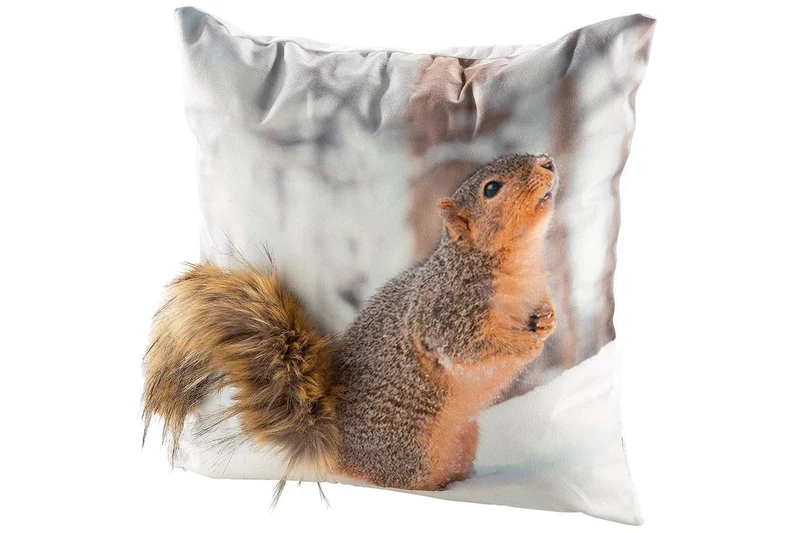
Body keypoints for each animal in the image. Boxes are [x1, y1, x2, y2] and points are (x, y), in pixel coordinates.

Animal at [142, 153, 558, 495]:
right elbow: (468, 347)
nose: (547, 161)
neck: (519, 263)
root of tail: (336, 450)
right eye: (492, 189)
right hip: (408, 452)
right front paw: (525, 344)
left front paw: (548, 321)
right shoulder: (447, 313)